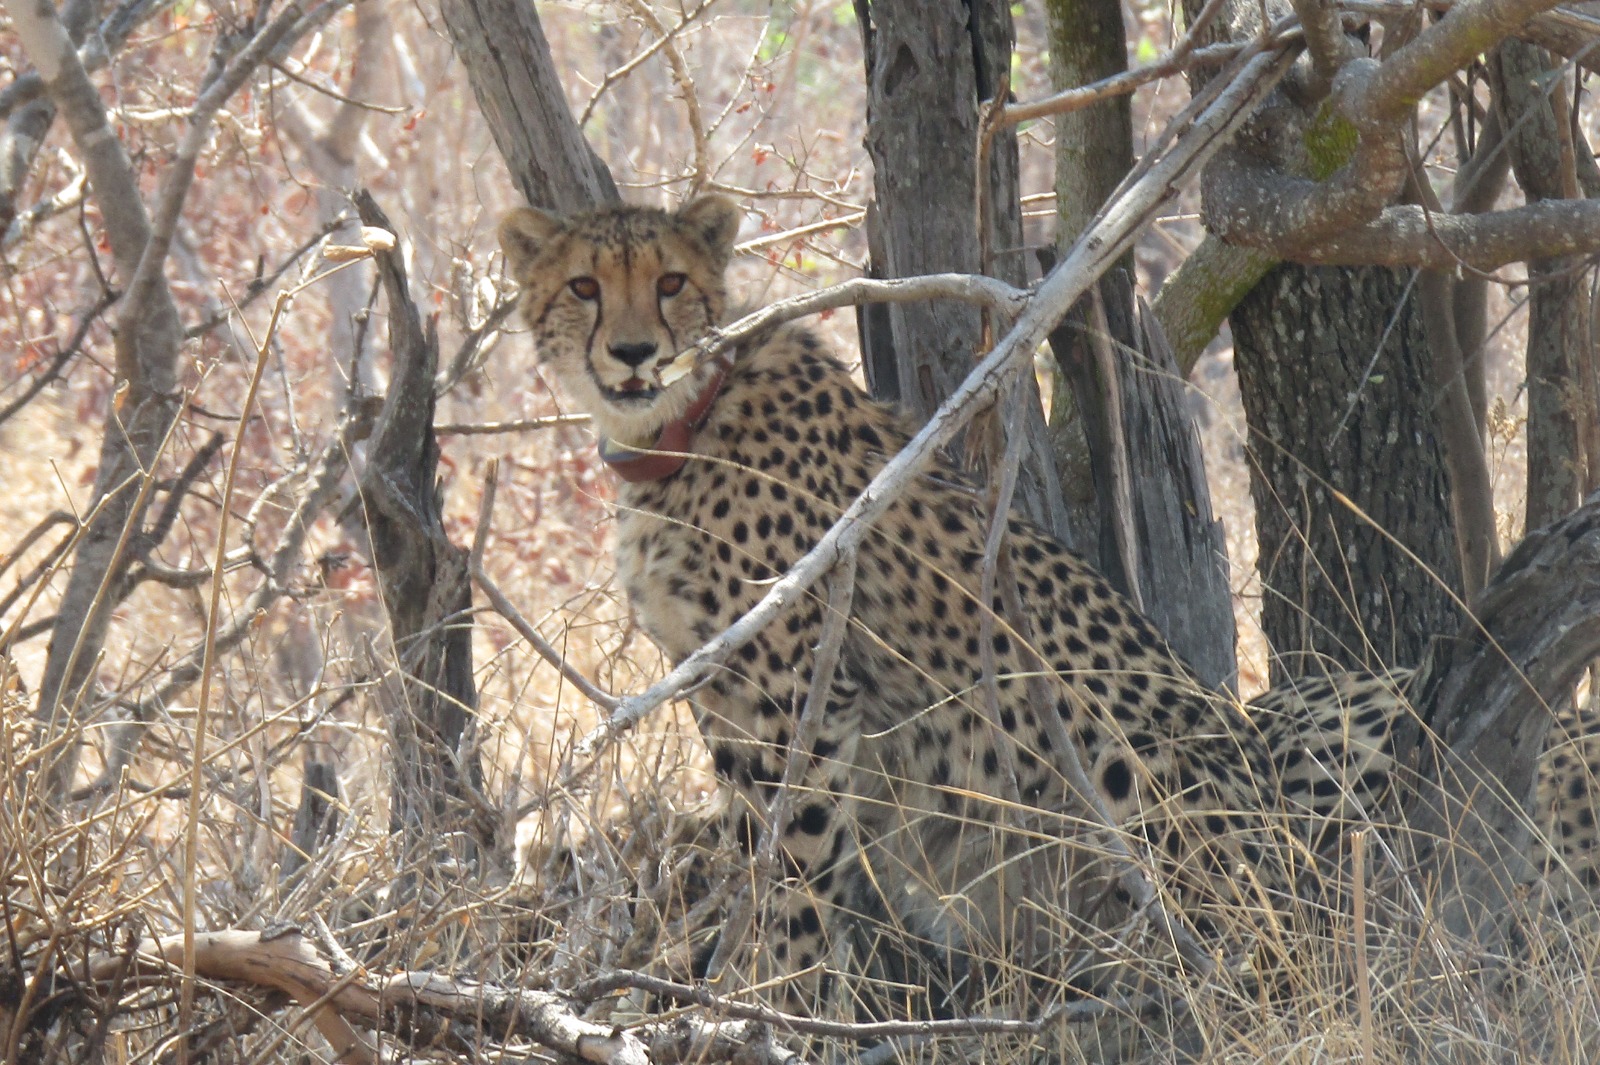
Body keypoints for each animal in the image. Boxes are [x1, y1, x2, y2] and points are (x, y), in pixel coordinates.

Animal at [497, 194, 1599, 1015]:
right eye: (585, 286)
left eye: (671, 283)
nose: (633, 351)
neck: (680, 428)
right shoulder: (726, 703)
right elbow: (755, 857)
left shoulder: (796, 696)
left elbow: (793, 875)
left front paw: (783, 1008)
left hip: (1156, 762)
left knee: (1251, 939)